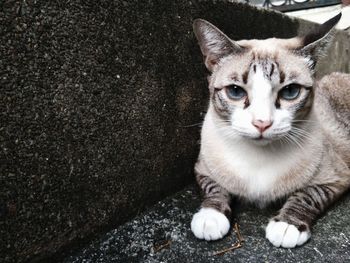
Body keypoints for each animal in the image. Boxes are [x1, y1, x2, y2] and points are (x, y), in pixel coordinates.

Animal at [191, 13, 350, 250]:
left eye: (290, 91)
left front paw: (287, 226)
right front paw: (210, 217)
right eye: (235, 91)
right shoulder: (203, 168)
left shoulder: (336, 177)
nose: (262, 123)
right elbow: (214, 187)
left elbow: (308, 195)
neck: (259, 158)